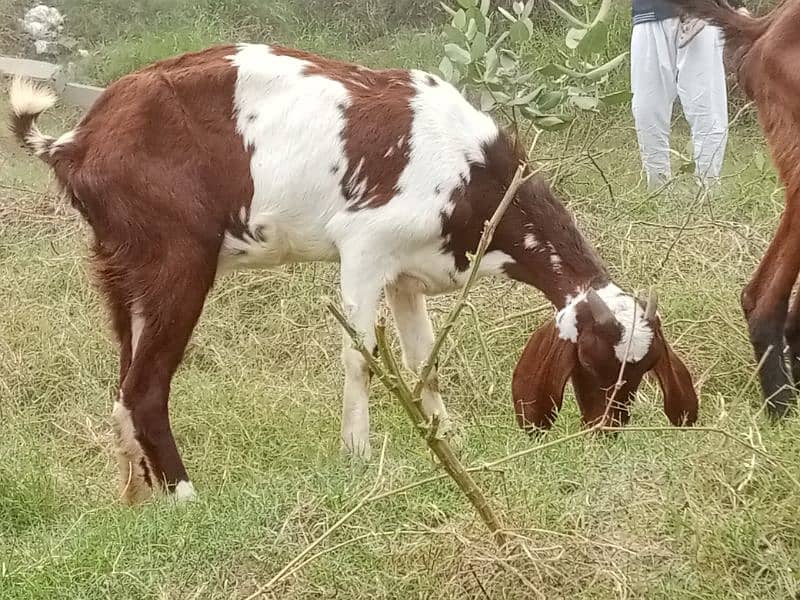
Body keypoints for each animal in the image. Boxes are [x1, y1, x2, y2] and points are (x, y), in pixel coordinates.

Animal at [6, 42, 696, 504]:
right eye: (593, 363)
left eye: (641, 375)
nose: (607, 434)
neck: (470, 170)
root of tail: (76, 142)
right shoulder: (364, 249)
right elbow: (362, 356)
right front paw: (359, 455)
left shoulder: (410, 274)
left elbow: (423, 360)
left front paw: (445, 436)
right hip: (176, 260)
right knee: (145, 387)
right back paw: (186, 496)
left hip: (123, 271)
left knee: (123, 384)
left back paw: (141, 497)